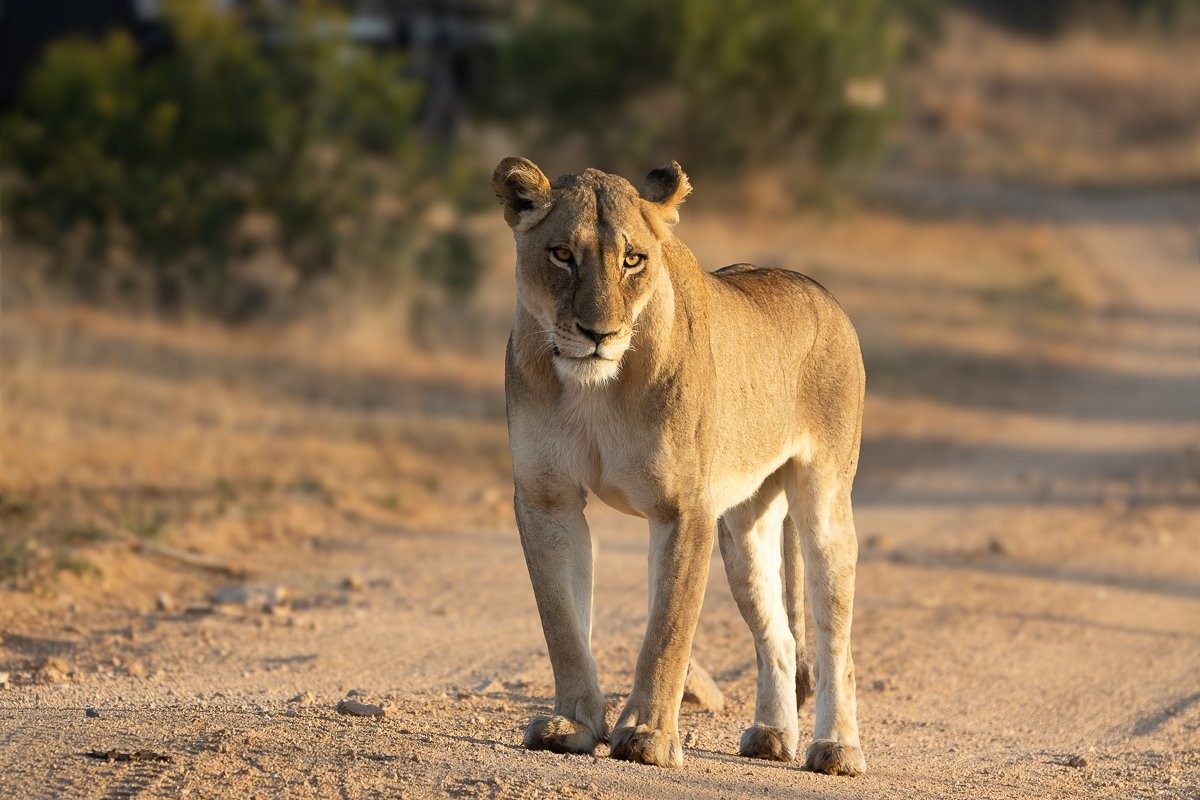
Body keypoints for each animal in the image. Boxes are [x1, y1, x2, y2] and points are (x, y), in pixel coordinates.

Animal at [494, 157, 866, 775]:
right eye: (562, 254)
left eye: (633, 259)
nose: (598, 334)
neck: (593, 389)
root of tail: (820, 291)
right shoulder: (547, 498)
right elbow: (563, 622)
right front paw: (573, 726)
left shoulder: (683, 509)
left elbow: (666, 631)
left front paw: (647, 736)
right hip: (744, 529)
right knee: (780, 635)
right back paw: (771, 735)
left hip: (825, 500)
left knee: (833, 631)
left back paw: (836, 748)